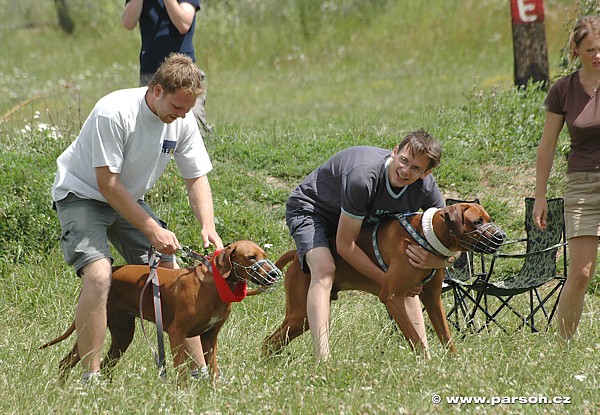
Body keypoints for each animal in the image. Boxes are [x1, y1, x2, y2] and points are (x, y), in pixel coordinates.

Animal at [41, 240, 282, 384]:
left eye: (264, 254)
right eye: (251, 257)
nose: (274, 275)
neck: (213, 285)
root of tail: (112, 272)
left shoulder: (210, 337)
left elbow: (213, 369)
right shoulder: (177, 333)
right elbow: (181, 372)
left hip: (123, 334)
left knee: (106, 364)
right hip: (94, 324)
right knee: (67, 362)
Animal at [264, 203, 504, 360]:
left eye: (489, 219)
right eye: (477, 222)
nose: (501, 237)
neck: (425, 236)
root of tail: (297, 255)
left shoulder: (432, 298)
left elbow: (446, 336)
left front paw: (454, 364)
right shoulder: (393, 297)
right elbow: (415, 339)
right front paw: (426, 365)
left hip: (302, 318)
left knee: (273, 341)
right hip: (301, 313)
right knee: (269, 340)